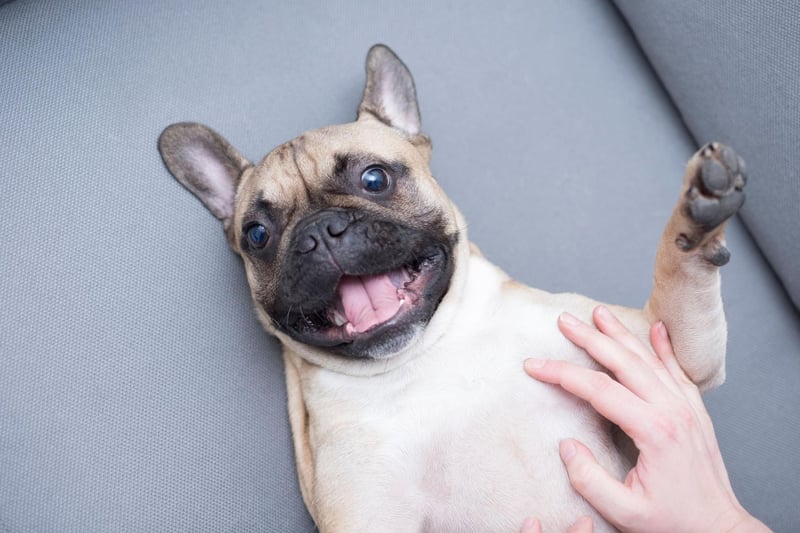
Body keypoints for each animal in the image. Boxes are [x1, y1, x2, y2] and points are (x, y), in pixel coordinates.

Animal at [156, 43, 744, 528]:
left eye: (374, 178)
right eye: (257, 234)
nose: (319, 233)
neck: (428, 355)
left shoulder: (666, 350)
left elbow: (676, 270)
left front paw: (699, 214)